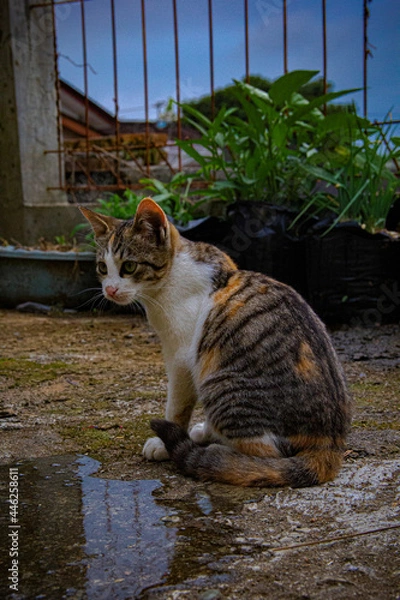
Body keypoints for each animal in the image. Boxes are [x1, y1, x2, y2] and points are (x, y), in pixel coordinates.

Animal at [80, 197, 350, 488]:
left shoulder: (182, 358)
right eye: (102, 268)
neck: (173, 275)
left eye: (129, 266)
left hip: (220, 384)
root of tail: (330, 443)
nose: (110, 290)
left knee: (267, 453)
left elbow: (177, 406)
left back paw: (220, 453)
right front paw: (201, 431)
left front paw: (164, 445)